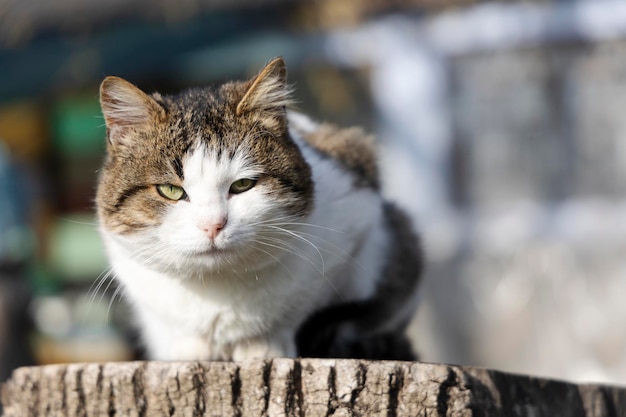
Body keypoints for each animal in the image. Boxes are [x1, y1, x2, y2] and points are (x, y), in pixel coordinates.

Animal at [95, 57, 422, 360]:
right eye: (171, 190)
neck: (217, 287)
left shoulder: (363, 220)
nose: (213, 224)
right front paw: (191, 349)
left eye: (242, 185)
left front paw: (263, 342)